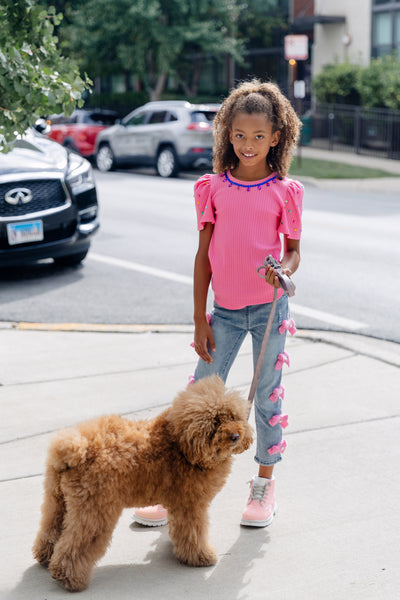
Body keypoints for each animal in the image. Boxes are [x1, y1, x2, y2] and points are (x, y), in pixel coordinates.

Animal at [33, 378, 253, 592]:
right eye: (216, 421)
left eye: (233, 417)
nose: (236, 436)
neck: (181, 446)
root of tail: (76, 449)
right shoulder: (190, 506)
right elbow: (193, 534)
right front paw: (201, 557)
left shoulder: (179, 506)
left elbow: (181, 531)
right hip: (94, 511)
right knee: (77, 545)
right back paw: (68, 578)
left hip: (58, 500)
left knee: (51, 529)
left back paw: (46, 557)